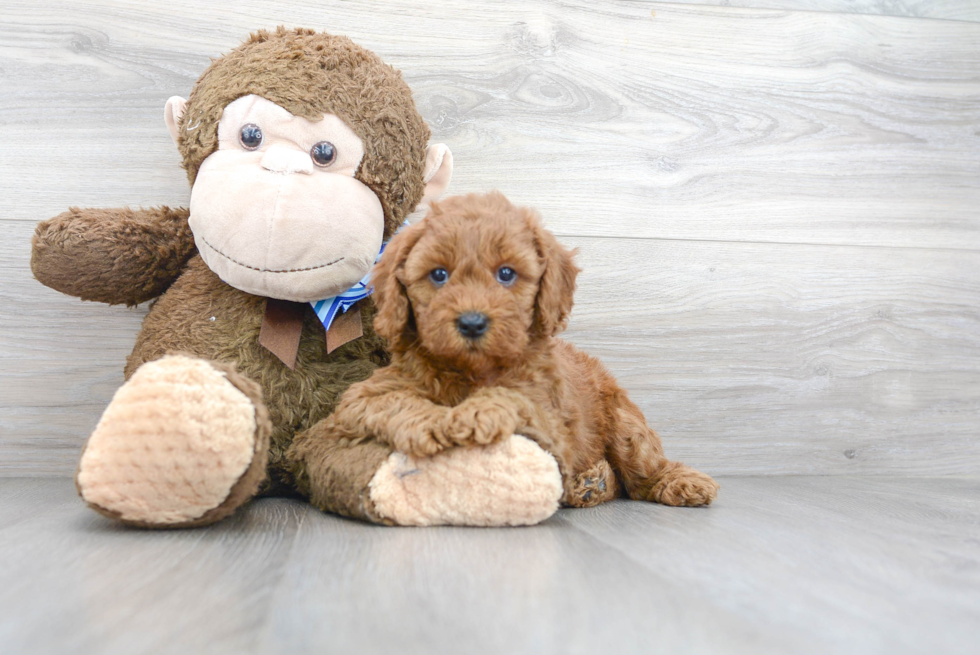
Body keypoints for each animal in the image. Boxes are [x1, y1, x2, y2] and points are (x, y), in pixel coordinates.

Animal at [322, 192, 720, 510]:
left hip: (624, 422)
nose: (472, 323)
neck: (470, 370)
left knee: (639, 474)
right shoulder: (361, 397)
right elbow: (392, 401)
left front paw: (476, 413)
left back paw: (676, 481)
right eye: (438, 275)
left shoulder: (551, 418)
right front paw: (432, 424)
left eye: (506, 274)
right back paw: (591, 484)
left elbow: (513, 397)